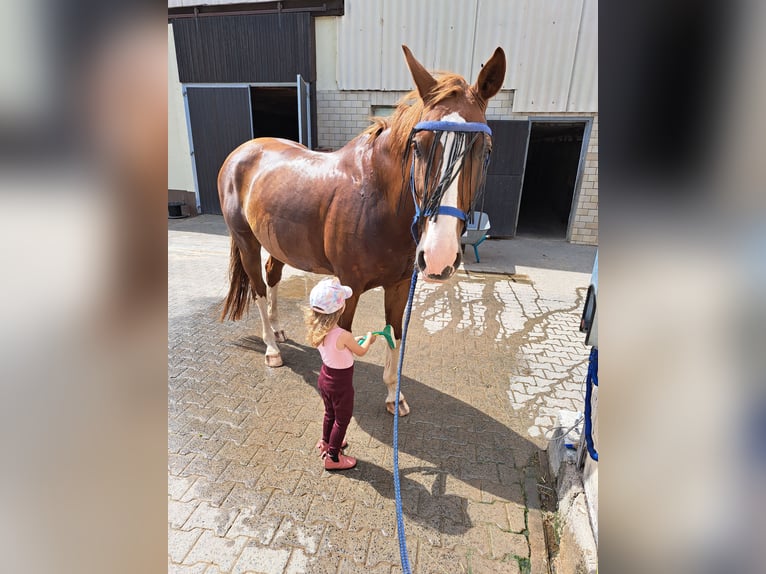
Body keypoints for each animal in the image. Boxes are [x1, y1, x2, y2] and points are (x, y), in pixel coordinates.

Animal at [219, 44, 508, 414]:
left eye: (485, 150)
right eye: (419, 145)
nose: (438, 257)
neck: (376, 199)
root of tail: (242, 152)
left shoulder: (399, 286)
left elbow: (395, 335)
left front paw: (394, 396)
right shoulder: (349, 288)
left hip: (277, 243)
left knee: (272, 279)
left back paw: (280, 330)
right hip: (247, 242)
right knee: (257, 288)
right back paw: (272, 348)